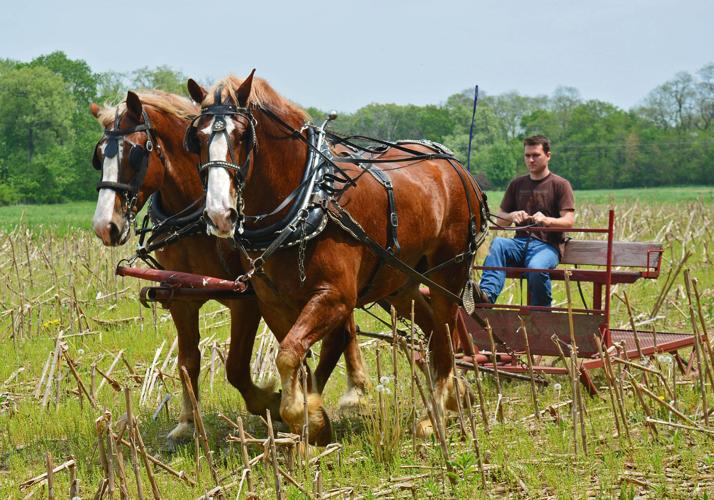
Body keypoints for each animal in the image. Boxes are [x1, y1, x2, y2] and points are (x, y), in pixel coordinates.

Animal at [90, 90, 367, 446]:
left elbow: (235, 367)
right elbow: (187, 362)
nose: (105, 226)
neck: (195, 215)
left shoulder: (245, 300)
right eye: (99, 156)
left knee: (345, 326)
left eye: (137, 152)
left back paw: (354, 391)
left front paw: (272, 402)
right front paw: (187, 424)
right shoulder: (181, 296)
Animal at [185, 72, 486, 444]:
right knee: (431, 329)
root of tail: (456, 166)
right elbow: (295, 356)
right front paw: (310, 418)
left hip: (449, 273)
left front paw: (304, 417)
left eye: (243, 135)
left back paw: (437, 414)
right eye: (196, 138)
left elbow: (289, 355)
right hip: (400, 283)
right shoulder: (273, 303)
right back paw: (451, 398)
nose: (219, 214)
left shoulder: (336, 296)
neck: (307, 199)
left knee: (445, 333)